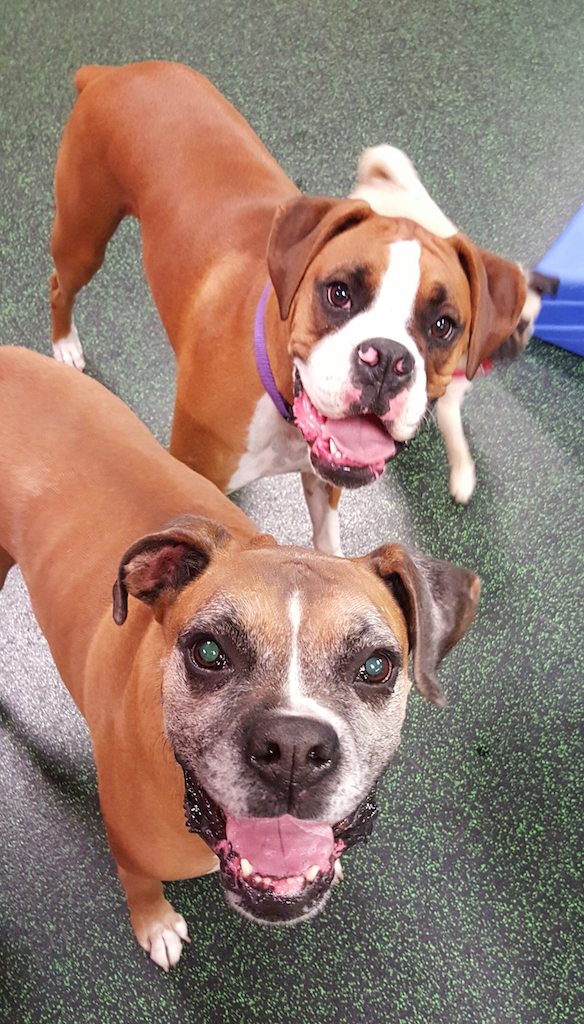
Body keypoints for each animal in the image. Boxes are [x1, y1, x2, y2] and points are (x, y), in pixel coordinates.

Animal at [0, 346, 479, 968]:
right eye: (209, 652)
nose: (294, 748)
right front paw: (155, 924)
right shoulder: (128, 848)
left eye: (376, 666)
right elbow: (139, 886)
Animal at [50, 61, 527, 550]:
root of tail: (112, 72)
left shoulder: (325, 476)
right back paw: (65, 344)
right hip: (83, 237)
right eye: (339, 293)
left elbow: (326, 539)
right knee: (58, 287)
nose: (386, 359)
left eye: (443, 325)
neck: (282, 402)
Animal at [351, 145, 558, 502]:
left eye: (523, 326)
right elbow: (458, 443)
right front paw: (463, 474)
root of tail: (381, 181)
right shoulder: (447, 407)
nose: (509, 349)